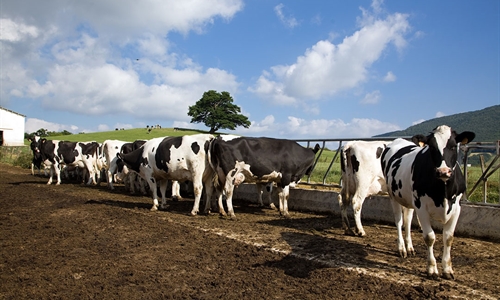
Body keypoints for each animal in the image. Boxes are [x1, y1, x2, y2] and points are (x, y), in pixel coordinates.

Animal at [380, 125, 474, 278]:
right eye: (432, 147)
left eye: (454, 146)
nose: (443, 171)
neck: (443, 192)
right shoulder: (421, 207)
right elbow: (429, 237)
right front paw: (432, 268)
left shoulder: (456, 208)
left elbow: (448, 237)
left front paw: (447, 269)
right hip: (394, 196)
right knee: (399, 221)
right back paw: (402, 248)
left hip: (409, 199)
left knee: (407, 221)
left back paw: (410, 247)